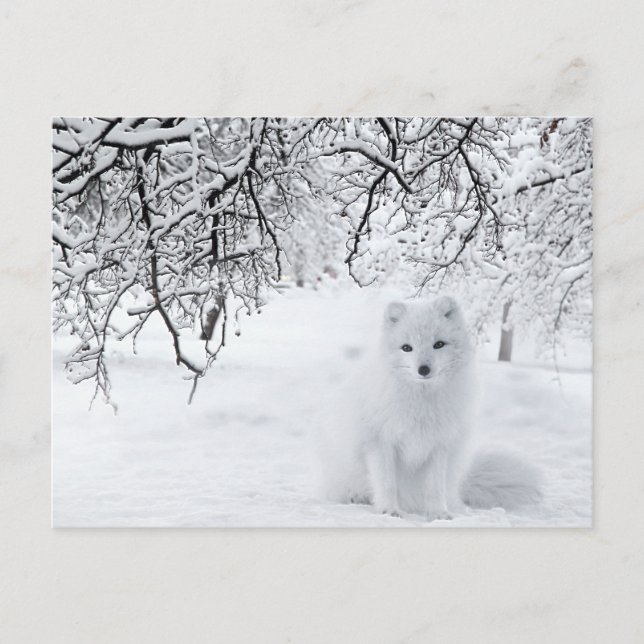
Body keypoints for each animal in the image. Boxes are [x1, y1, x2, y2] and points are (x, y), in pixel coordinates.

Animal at [317, 295, 542, 521]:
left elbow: (434, 487)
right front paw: (389, 511)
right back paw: (357, 497)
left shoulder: (439, 445)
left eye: (438, 344)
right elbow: (387, 483)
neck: (421, 404)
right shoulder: (380, 442)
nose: (423, 369)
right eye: (407, 347)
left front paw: (438, 514)